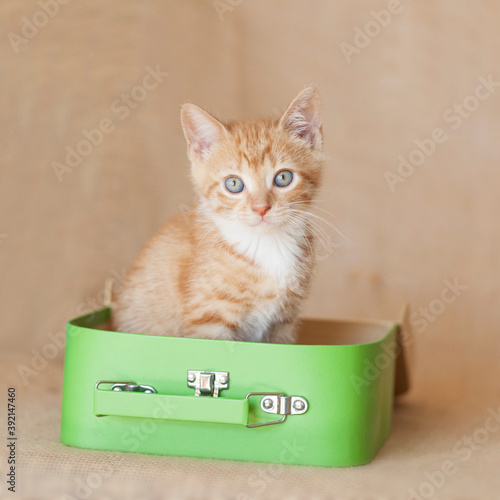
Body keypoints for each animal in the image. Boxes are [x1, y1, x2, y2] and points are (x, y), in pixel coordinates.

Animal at [111, 87, 324, 344]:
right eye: (233, 184)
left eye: (283, 178)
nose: (261, 208)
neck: (266, 244)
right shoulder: (209, 320)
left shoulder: (283, 325)